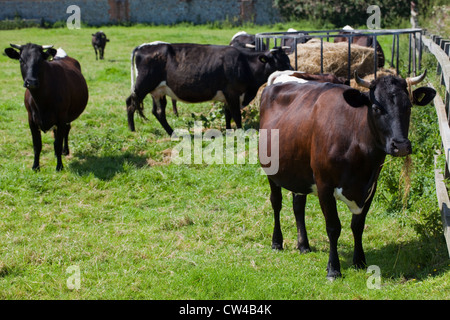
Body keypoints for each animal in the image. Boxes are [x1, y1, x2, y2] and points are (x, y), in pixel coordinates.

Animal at [4, 43, 89, 171]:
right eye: (21, 60)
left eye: (40, 61)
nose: (31, 82)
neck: (41, 101)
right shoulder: (31, 120)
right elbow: (37, 145)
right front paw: (35, 166)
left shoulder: (62, 118)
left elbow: (58, 143)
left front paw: (59, 166)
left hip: (68, 116)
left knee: (66, 130)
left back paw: (65, 150)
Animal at [125, 41, 292, 135]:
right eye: (279, 61)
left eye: (287, 59)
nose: (292, 69)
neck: (244, 63)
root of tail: (143, 47)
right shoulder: (232, 93)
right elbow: (236, 115)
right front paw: (240, 132)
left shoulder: (227, 96)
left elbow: (227, 114)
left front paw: (229, 131)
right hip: (142, 85)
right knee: (130, 103)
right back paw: (132, 130)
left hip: (158, 91)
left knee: (158, 112)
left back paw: (171, 132)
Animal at [260, 69, 436, 278]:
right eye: (376, 108)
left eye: (408, 106)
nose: (400, 145)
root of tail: (285, 74)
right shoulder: (324, 185)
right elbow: (333, 227)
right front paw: (333, 268)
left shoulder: (371, 186)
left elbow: (358, 225)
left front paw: (359, 261)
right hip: (272, 171)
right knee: (276, 203)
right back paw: (277, 242)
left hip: (298, 172)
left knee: (298, 206)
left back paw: (303, 245)